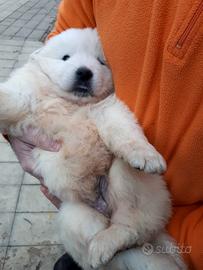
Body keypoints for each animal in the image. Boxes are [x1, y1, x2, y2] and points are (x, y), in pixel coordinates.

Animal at [0, 28, 186, 270]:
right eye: (66, 57)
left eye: (100, 62)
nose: (84, 72)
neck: (71, 103)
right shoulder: (25, 95)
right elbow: (10, 98)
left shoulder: (108, 109)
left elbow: (125, 129)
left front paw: (147, 155)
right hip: (73, 213)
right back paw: (98, 251)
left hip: (129, 181)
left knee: (130, 226)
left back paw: (102, 246)